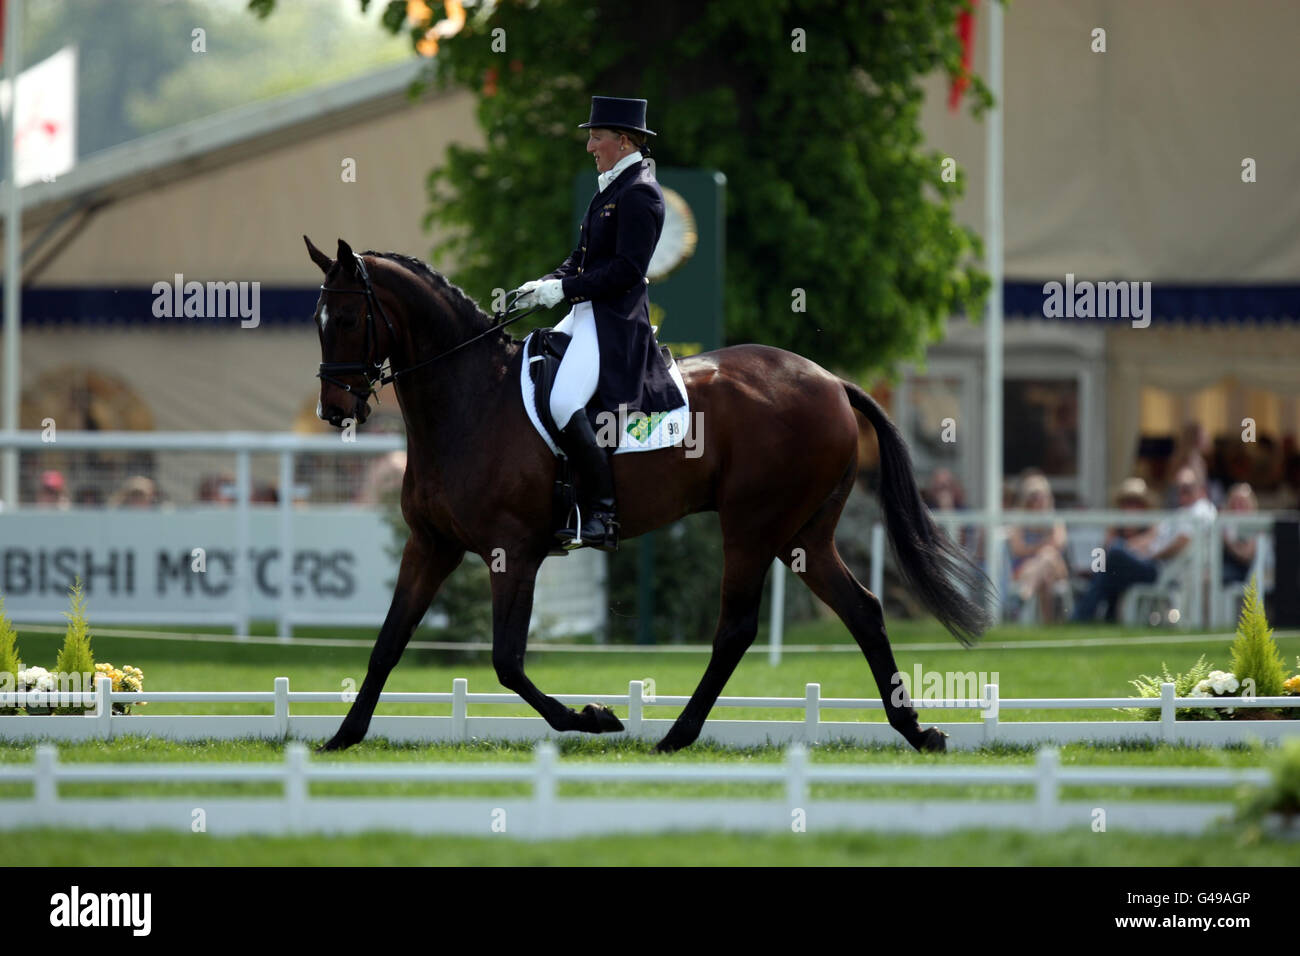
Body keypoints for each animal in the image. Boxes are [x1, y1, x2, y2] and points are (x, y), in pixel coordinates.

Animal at [306, 234, 993, 754]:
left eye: (349, 320)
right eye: (318, 322)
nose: (335, 409)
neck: (470, 398)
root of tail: (830, 380)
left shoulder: (513, 551)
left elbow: (506, 660)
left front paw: (593, 718)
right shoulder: (430, 545)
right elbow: (388, 642)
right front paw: (344, 736)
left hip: (752, 526)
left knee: (736, 629)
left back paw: (676, 736)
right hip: (803, 534)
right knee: (863, 611)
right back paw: (916, 731)